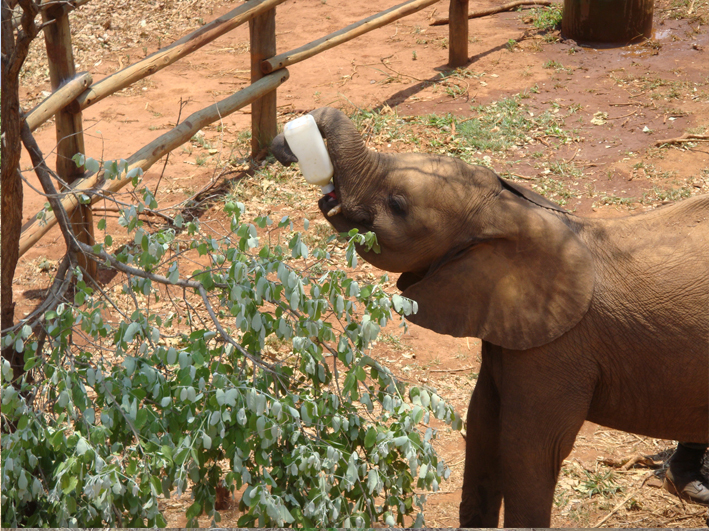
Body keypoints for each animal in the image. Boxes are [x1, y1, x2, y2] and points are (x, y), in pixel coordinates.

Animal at [268, 108, 704, 528]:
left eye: (398, 204)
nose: (285, 145)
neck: (512, 212)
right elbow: (482, 427)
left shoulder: (559, 347)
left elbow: (530, 451)